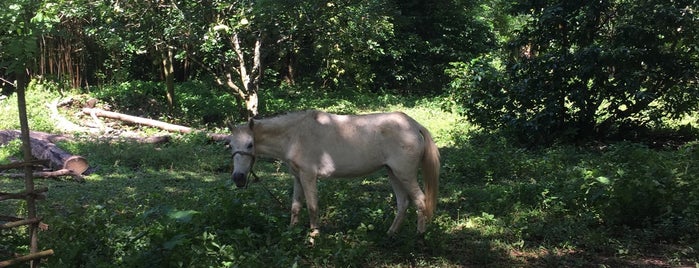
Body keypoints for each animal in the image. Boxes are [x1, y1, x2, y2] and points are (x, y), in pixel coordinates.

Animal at [227, 111, 440, 237]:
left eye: (250, 145)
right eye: (230, 145)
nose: (238, 178)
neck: (294, 136)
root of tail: (414, 125)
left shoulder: (308, 177)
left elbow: (312, 207)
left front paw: (314, 237)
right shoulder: (298, 178)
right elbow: (296, 207)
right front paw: (291, 231)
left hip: (405, 174)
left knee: (420, 200)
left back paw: (420, 236)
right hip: (393, 173)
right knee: (403, 202)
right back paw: (390, 233)